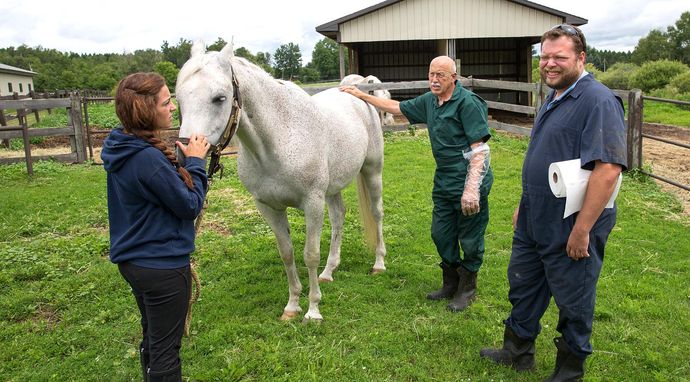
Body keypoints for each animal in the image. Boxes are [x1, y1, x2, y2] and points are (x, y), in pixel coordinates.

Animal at [175, 41, 384, 320]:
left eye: (219, 98)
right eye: (179, 99)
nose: (184, 158)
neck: (279, 138)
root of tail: (359, 94)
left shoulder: (312, 203)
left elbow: (310, 254)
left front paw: (313, 310)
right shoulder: (268, 207)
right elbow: (287, 253)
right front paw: (293, 305)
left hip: (372, 172)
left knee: (377, 212)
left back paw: (379, 263)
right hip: (333, 189)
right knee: (339, 216)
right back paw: (329, 272)